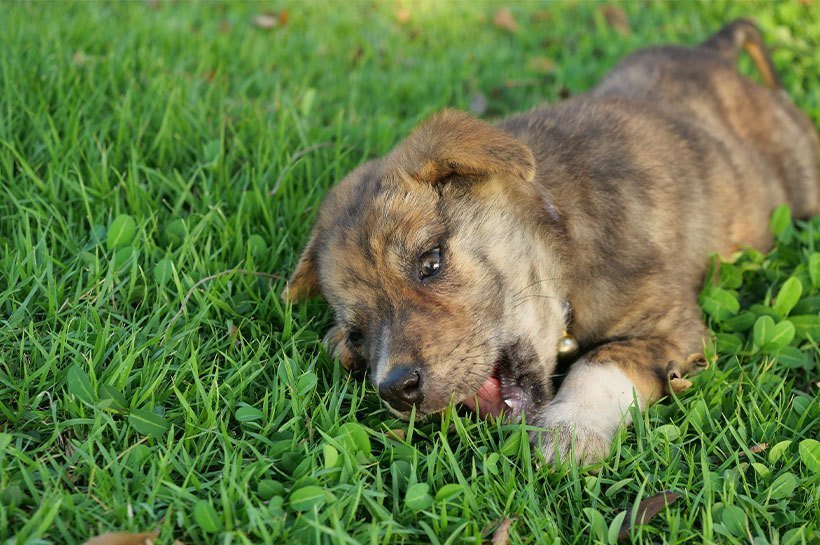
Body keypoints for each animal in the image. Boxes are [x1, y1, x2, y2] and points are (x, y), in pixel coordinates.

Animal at [280, 22, 812, 464]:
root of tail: (711, 50)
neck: (565, 236)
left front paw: (570, 430)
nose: (395, 388)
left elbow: (602, 362)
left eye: (430, 262)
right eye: (358, 333)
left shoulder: (672, 328)